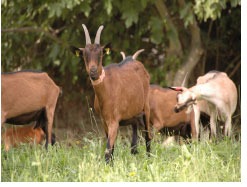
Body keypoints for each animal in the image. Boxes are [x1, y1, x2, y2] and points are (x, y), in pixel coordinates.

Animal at [70, 24, 151, 162]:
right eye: (84, 55)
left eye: (100, 54)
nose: (93, 72)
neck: (106, 90)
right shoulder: (104, 121)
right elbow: (111, 149)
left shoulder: (114, 120)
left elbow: (108, 151)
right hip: (132, 112)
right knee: (135, 126)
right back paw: (134, 150)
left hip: (146, 107)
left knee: (148, 135)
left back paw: (149, 157)